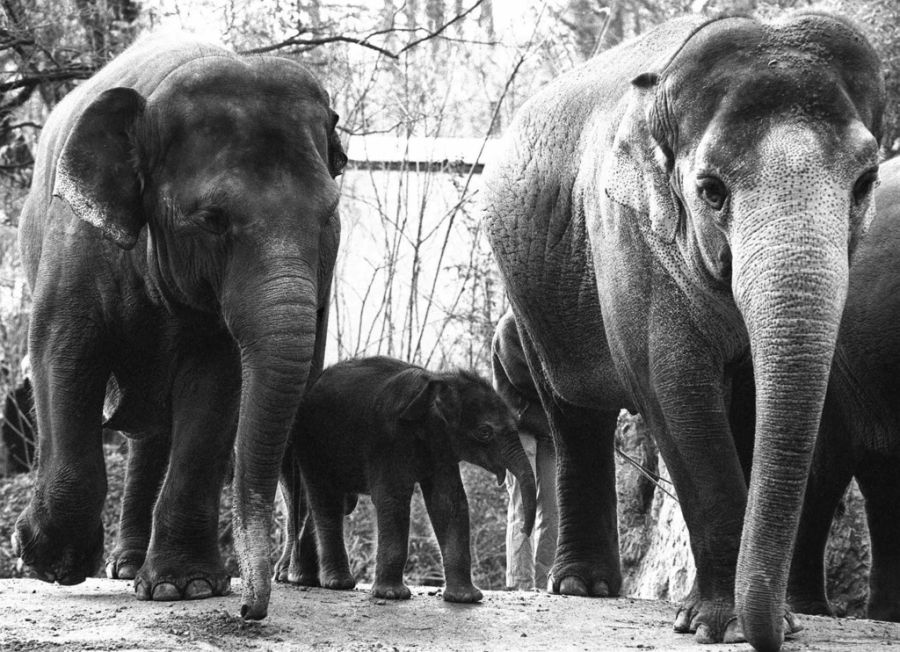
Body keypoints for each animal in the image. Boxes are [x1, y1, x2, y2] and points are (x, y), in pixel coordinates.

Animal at [12, 37, 346, 620]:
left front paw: (183, 586)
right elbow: (62, 354)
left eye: (329, 214)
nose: (249, 609)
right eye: (212, 219)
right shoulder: (75, 240)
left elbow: (218, 385)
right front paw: (46, 561)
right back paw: (122, 567)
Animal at [276, 360, 536, 604]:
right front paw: (392, 595)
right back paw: (337, 583)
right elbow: (394, 499)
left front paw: (465, 598)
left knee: (334, 504)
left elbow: (448, 503)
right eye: (484, 432)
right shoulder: (387, 439)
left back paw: (304, 578)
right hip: (312, 443)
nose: (525, 530)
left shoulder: (441, 447)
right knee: (326, 501)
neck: (436, 380)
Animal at [486, 11, 884, 652]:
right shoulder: (627, 237)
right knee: (571, 414)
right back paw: (582, 587)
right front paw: (723, 626)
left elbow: (749, 406)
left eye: (866, 181)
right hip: (528, 297)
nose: (775, 631)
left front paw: (763, 619)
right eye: (712, 190)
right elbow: (676, 391)